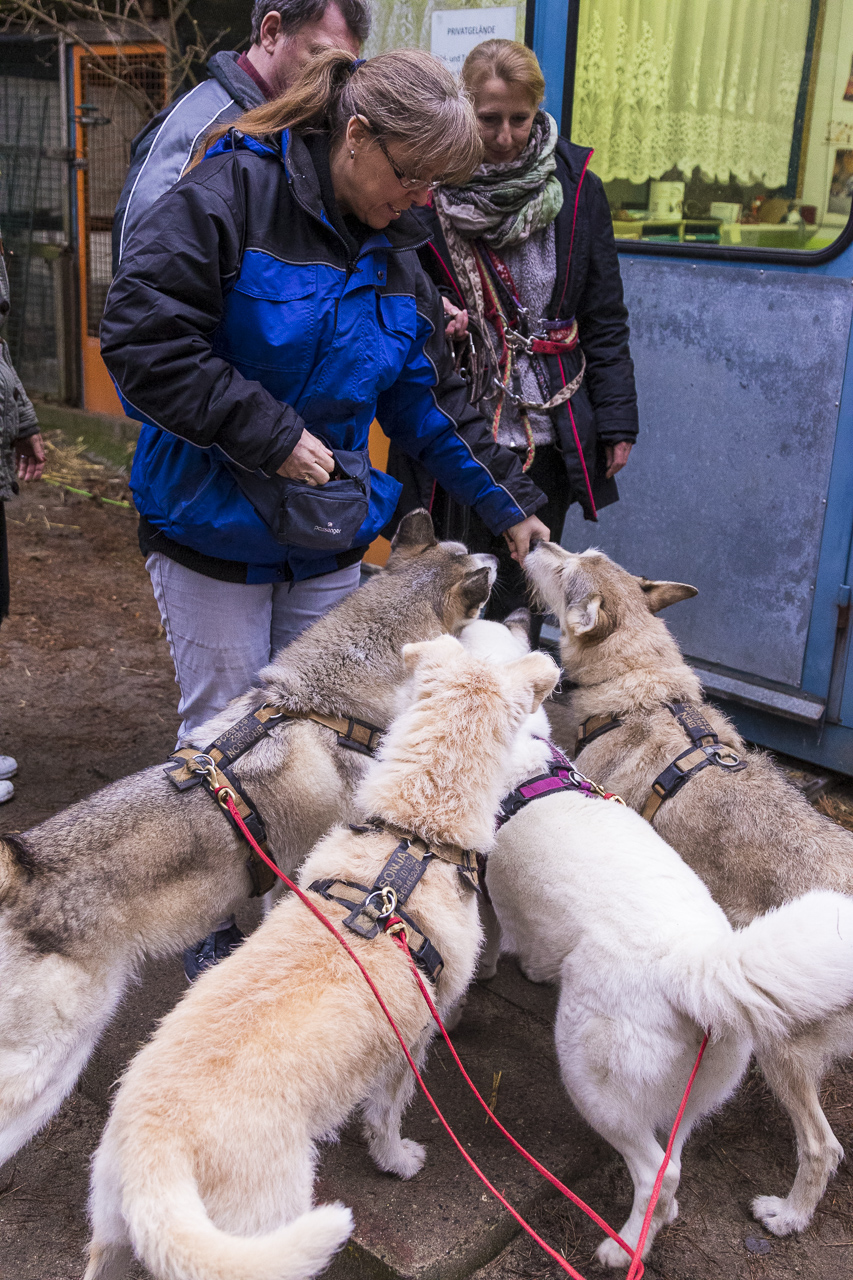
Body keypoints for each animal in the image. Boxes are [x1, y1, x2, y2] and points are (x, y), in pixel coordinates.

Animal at [0, 510, 498, 1167]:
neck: (330, 695)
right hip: (51, 1067)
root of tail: (24, 866)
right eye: (480, 578)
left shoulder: (286, 875)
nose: (503, 556)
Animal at [82, 633, 559, 1280]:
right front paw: (397, 1160)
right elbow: (385, 1117)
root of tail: (153, 1158)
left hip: (110, 1231)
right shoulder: (411, 1044)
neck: (411, 838)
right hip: (263, 1230)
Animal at [458, 614, 853, 1267]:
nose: (518, 614)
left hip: (598, 1077)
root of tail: (698, 968)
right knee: (675, 1166)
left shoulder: (486, 896)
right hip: (698, 1087)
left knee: (664, 1173)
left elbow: (486, 950)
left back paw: (631, 1248)